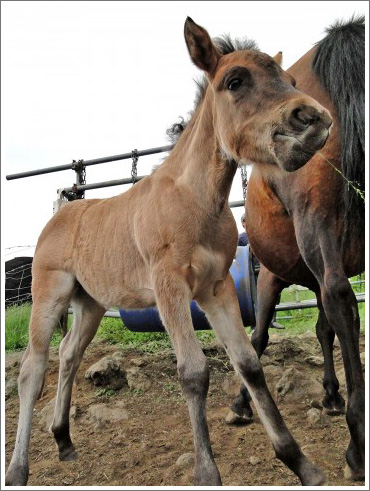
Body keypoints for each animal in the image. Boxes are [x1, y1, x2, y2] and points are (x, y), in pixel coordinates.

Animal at [4, 17, 330, 486]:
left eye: (289, 79)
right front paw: (207, 473)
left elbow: (248, 363)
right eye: (235, 81)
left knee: (68, 355)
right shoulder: (170, 286)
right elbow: (193, 371)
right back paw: (18, 469)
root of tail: (62, 211)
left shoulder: (216, 288)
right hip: (50, 293)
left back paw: (64, 439)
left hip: (91, 304)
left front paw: (301, 464)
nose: (314, 120)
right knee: (32, 369)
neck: (196, 199)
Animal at [230, 17, 366, 482]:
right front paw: (331, 395)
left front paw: (240, 404)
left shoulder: (273, 275)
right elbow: (326, 328)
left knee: (341, 299)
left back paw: (357, 447)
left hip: (314, 218)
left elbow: (259, 335)